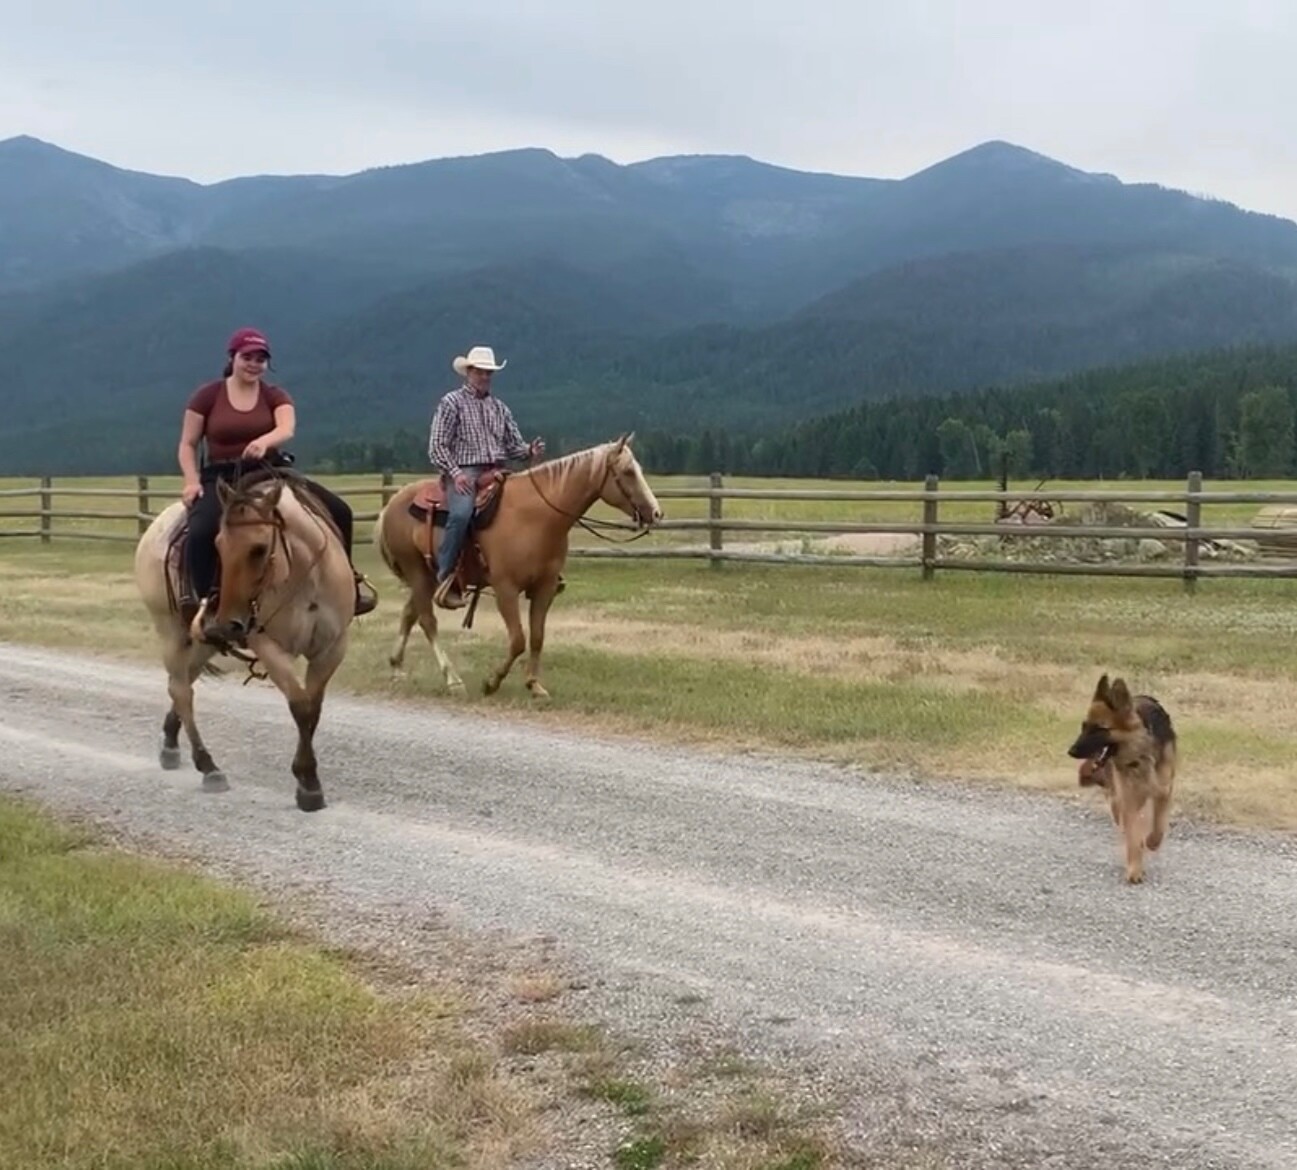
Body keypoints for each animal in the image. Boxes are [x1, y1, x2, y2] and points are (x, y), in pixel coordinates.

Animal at [133, 472, 357, 811]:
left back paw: (171, 742)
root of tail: (154, 527)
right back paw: (208, 766)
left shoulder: (332, 647)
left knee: (184, 681)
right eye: (217, 546)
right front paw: (307, 782)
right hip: (170, 630)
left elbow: (314, 708)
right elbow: (301, 706)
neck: (304, 576)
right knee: (181, 690)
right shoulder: (268, 644)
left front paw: (306, 776)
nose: (229, 622)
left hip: (204, 640)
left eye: (259, 549)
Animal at [375, 434, 663, 699]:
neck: (536, 516)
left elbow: (536, 637)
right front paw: (491, 682)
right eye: (628, 472)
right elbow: (517, 640)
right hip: (417, 572)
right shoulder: (506, 589)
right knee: (427, 620)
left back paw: (397, 668)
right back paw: (452, 679)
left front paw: (534, 684)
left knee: (409, 613)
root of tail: (393, 503)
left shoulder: (545, 588)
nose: (656, 513)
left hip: (426, 577)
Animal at [1067, 673, 1177, 884]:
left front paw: (1152, 842)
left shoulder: (1163, 791)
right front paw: (1134, 869)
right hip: (1118, 797)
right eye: (1084, 726)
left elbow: (1158, 826)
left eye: (1099, 729)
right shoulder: (1128, 799)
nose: (1071, 751)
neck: (1138, 755)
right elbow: (1133, 836)